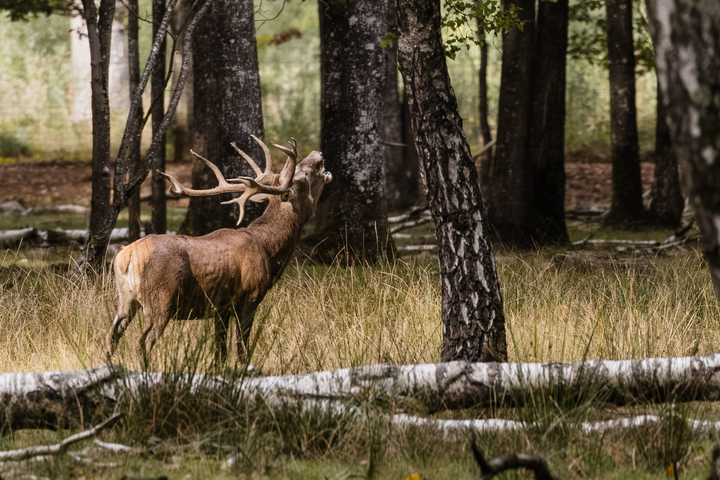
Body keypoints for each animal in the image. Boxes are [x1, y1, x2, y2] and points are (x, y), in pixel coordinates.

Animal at [106, 136, 332, 364]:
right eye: (304, 175)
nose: (319, 153)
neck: (269, 252)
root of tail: (125, 256)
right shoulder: (249, 297)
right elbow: (242, 348)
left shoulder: (221, 308)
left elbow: (220, 351)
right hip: (160, 299)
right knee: (143, 342)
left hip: (126, 298)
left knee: (112, 335)